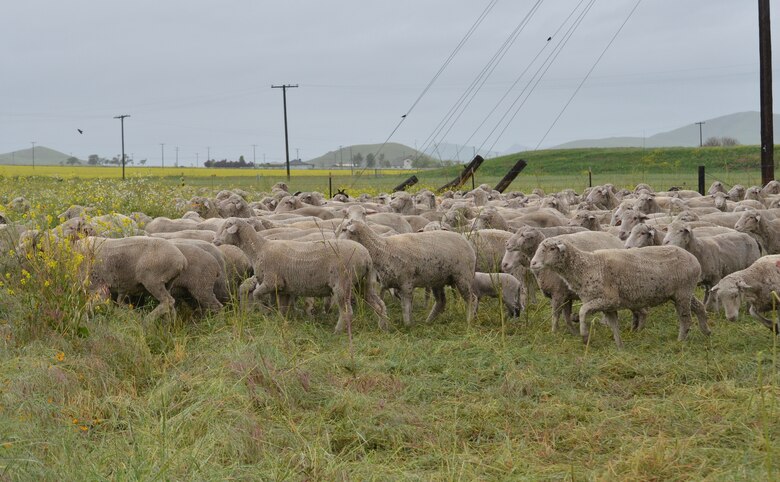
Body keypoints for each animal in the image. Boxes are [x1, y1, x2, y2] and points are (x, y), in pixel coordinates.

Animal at [213, 217, 386, 334]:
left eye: (227, 226)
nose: (214, 241)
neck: (259, 249)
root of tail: (366, 256)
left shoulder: (271, 281)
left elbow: (256, 294)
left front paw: (265, 311)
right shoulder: (283, 288)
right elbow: (282, 308)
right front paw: (281, 321)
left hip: (343, 283)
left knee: (347, 312)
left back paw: (337, 331)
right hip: (363, 282)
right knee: (379, 304)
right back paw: (383, 326)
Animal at [336, 217, 476, 324]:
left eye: (344, 229)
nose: (336, 243)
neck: (382, 249)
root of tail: (464, 239)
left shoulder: (406, 282)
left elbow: (406, 306)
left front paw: (408, 325)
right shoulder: (397, 285)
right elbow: (404, 305)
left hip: (463, 276)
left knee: (471, 298)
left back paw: (469, 320)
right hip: (438, 279)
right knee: (441, 301)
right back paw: (428, 322)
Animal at [528, 240, 708, 346]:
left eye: (552, 249)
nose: (533, 263)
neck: (588, 266)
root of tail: (695, 260)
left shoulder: (608, 299)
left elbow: (582, 311)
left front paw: (584, 336)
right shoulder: (609, 305)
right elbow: (614, 325)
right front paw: (619, 345)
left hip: (683, 293)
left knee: (686, 319)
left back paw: (681, 340)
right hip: (683, 292)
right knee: (699, 307)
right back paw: (706, 331)